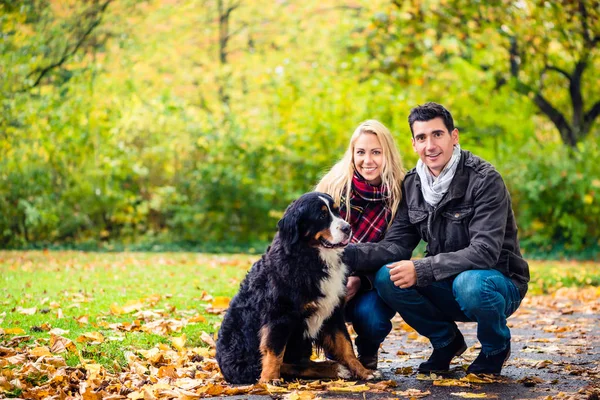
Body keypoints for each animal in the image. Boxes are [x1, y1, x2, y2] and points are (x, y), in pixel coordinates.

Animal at [216, 192, 376, 382]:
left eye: (337, 211)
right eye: (322, 216)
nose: (347, 228)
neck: (310, 258)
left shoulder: (334, 313)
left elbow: (346, 346)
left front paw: (364, 371)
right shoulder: (279, 315)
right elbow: (275, 351)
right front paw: (269, 380)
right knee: (289, 366)